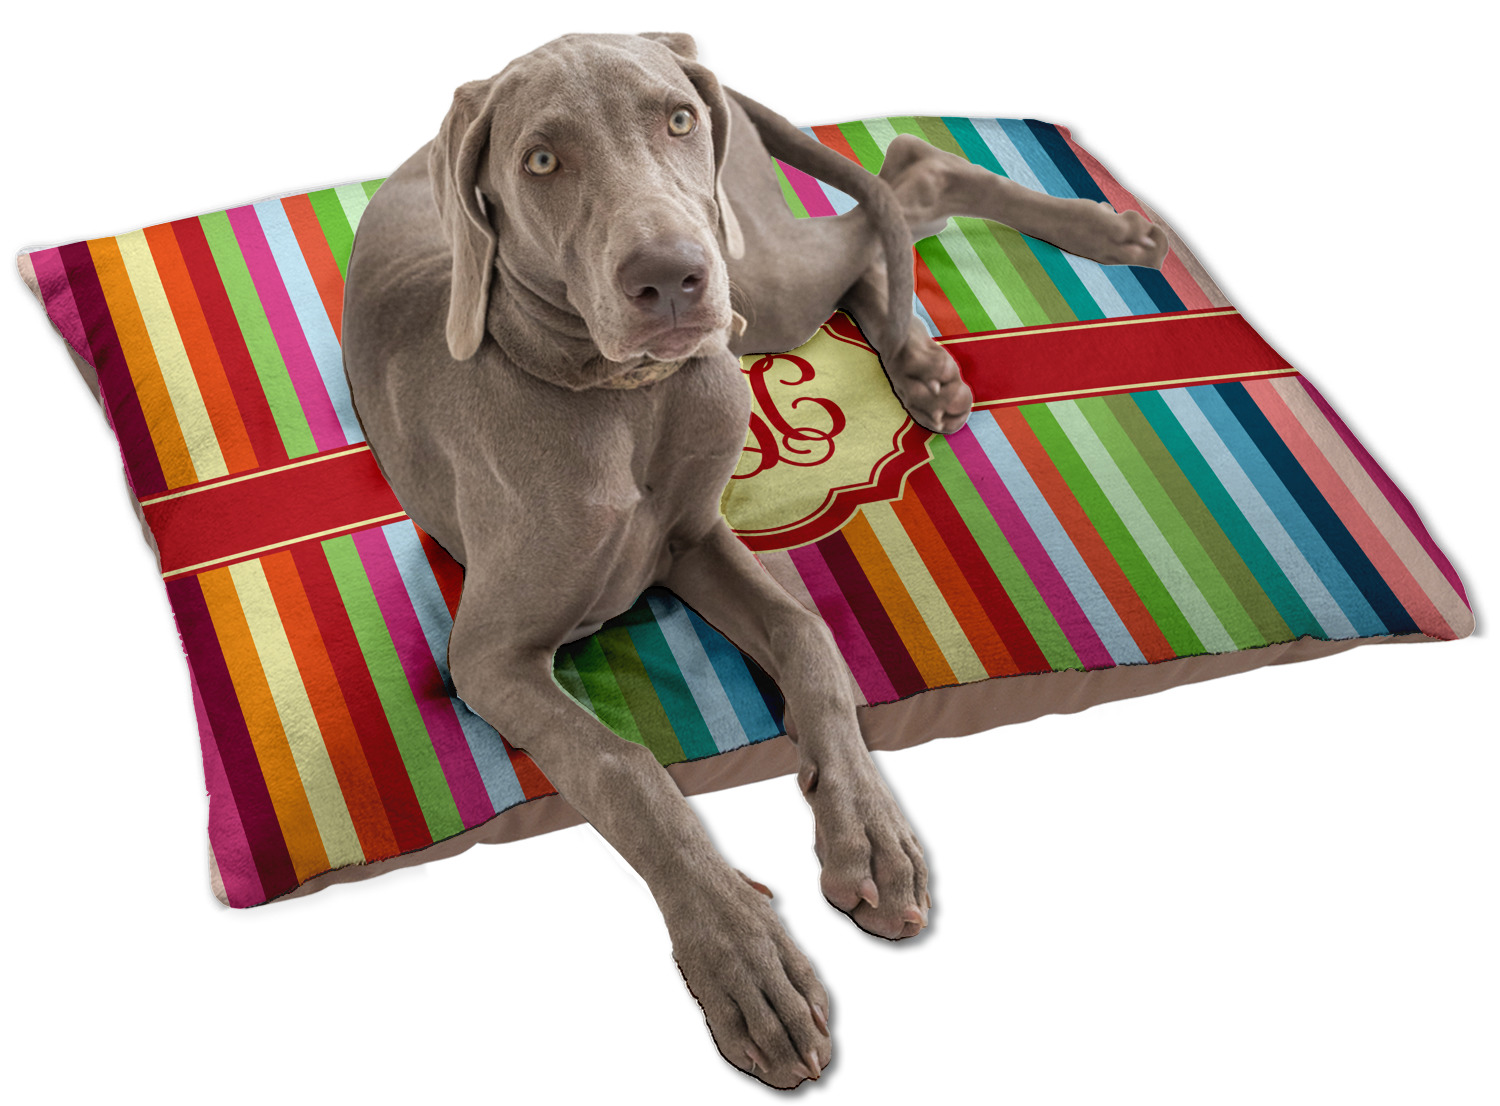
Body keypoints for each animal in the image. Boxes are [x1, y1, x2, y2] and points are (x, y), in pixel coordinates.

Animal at [342, 31, 1167, 1088]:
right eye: (541, 161)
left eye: (675, 121)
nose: (670, 278)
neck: (624, 399)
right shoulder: (487, 655)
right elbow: (624, 768)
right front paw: (743, 961)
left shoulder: (697, 542)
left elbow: (808, 634)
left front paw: (869, 832)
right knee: (889, 206)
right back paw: (934, 355)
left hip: (756, 275)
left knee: (903, 177)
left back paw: (1091, 245)